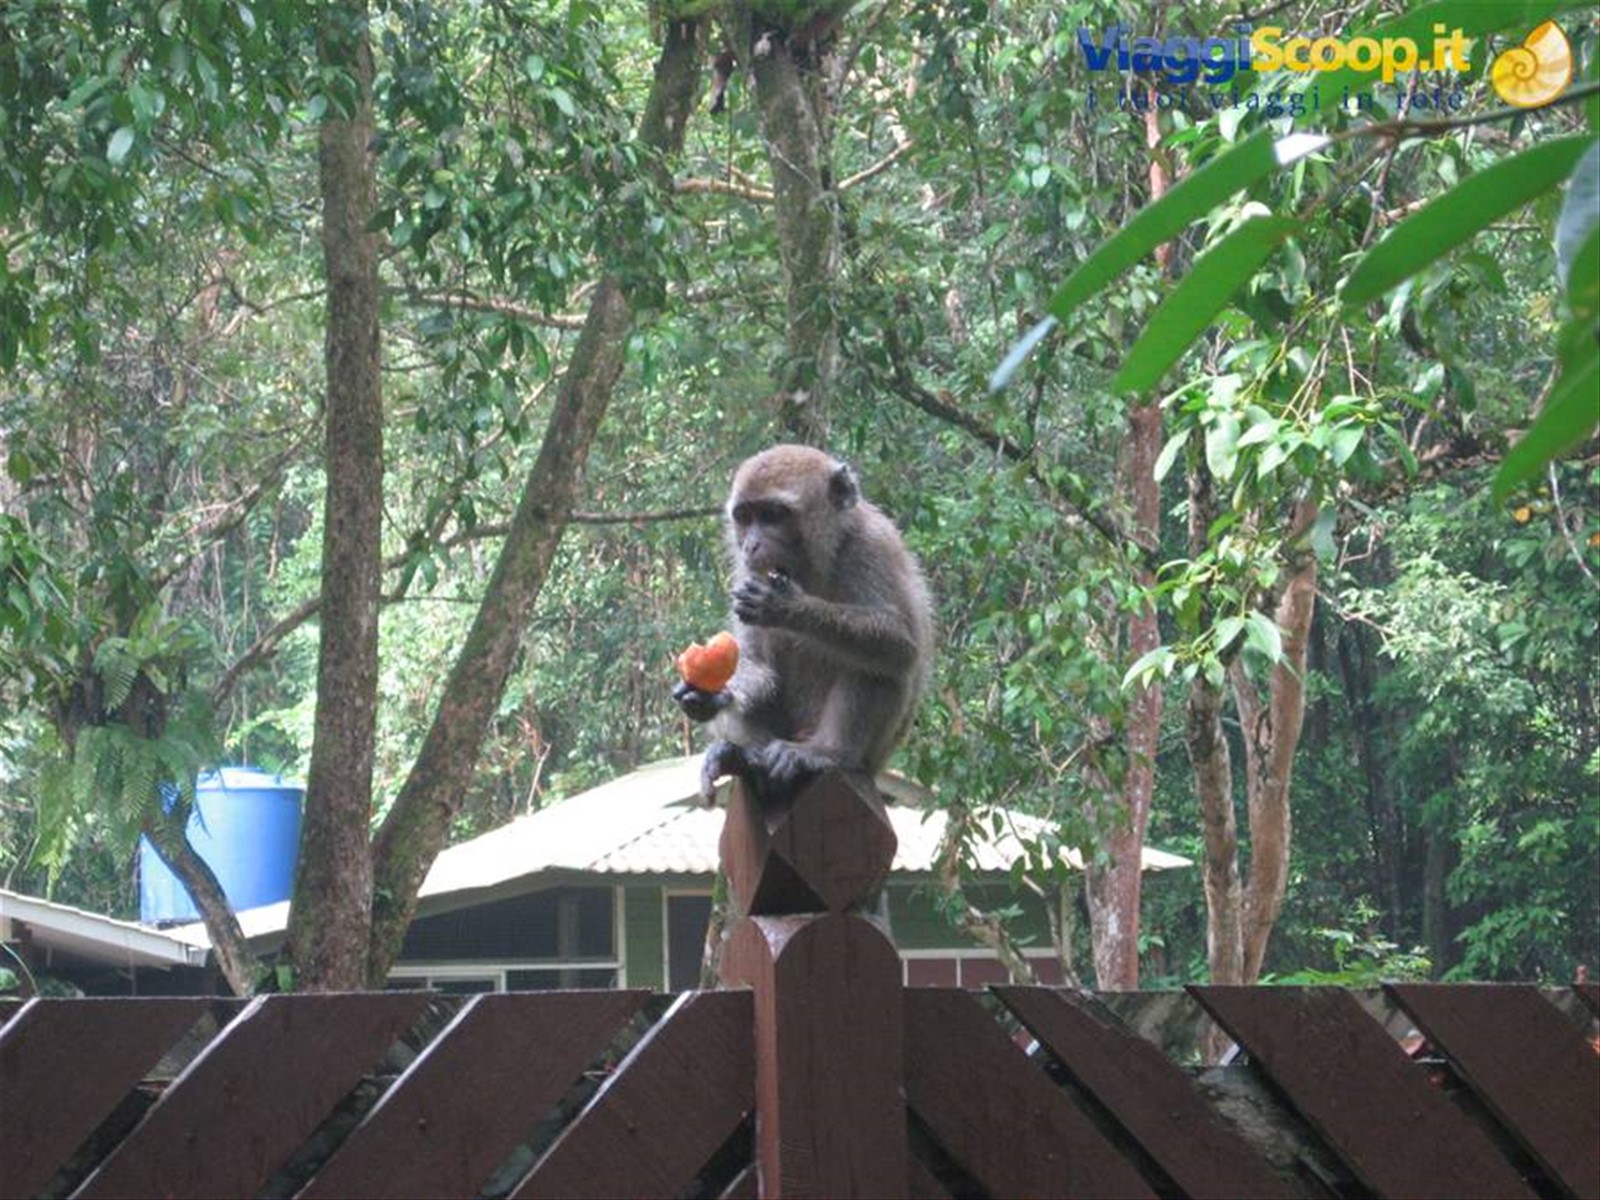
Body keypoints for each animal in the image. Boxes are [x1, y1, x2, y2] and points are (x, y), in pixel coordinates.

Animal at [673, 445, 934, 803]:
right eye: (745, 516)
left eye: (772, 514)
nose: (751, 544)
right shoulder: (748, 571)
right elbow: (755, 663)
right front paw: (713, 694)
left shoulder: (872, 545)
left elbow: (900, 642)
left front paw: (788, 607)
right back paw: (743, 756)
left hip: (871, 755)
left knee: (878, 666)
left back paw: (828, 753)